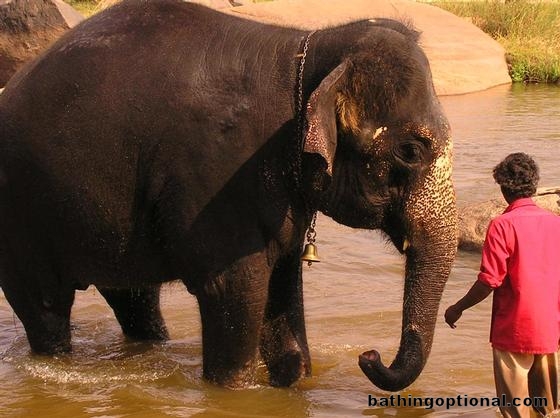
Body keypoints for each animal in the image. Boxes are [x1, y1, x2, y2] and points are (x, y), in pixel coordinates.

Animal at [0, 0, 457, 391]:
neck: (310, 52)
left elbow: (283, 282)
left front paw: (291, 379)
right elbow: (235, 289)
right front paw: (232, 392)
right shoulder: (219, 176)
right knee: (45, 308)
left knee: (134, 300)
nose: (368, 355)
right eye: (410, 151)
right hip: (21, 219)